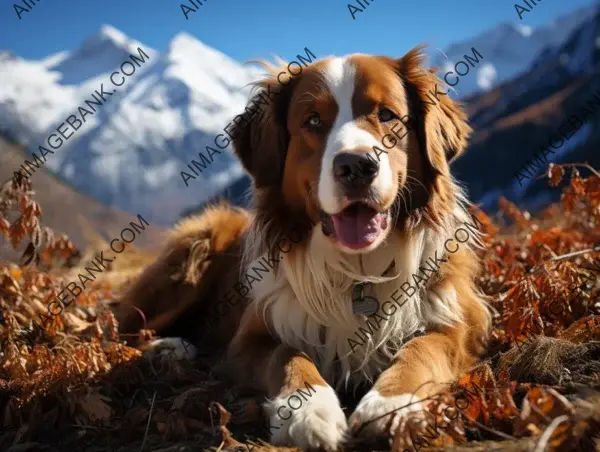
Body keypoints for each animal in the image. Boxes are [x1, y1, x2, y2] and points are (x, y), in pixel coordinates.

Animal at [115, 46, 490, 452]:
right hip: (198, 246)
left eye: (387, 115)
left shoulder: (460, 322)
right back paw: (169, 348)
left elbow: (421, 350)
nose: (356, 166)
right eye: (313, 121)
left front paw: (391, 405)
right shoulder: (250, 338)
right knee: (119, 327)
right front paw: (308, 411)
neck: (357, 270)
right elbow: (287, 353)